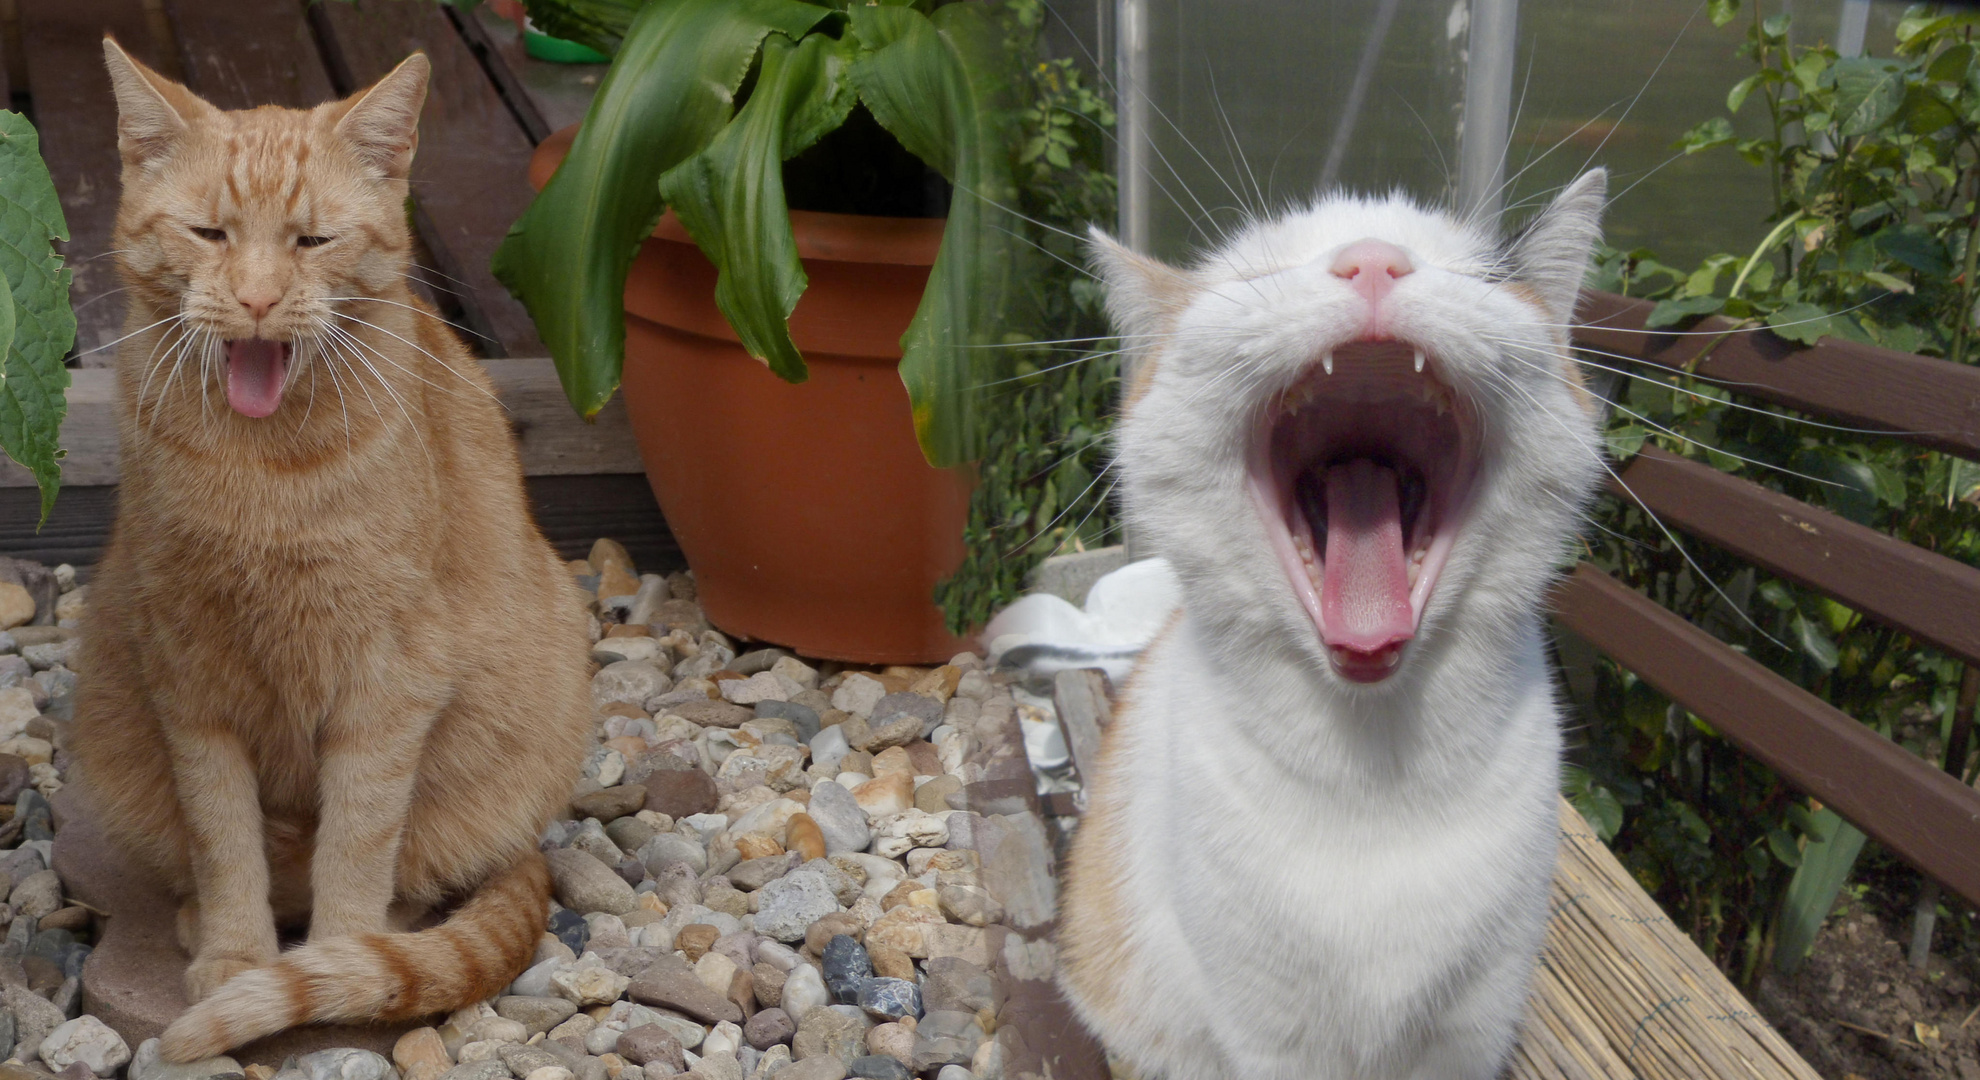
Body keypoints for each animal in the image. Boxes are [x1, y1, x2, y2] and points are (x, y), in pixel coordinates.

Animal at [69, 40, 594, 1054]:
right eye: (210, 233)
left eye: (312, 241)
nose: (257, 299)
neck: (261, 472)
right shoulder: (189, 679)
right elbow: (223, 835)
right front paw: (235, 954)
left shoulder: (387, 686)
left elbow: (357, 842)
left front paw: (342, 962)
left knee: (411, 877)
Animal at [1069, 170, 1607, 1078]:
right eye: (1254, 273)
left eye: (1487, 277)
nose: (1374, 261)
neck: (1375, 770)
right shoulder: (1268, 1035)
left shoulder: (1470, 1030)